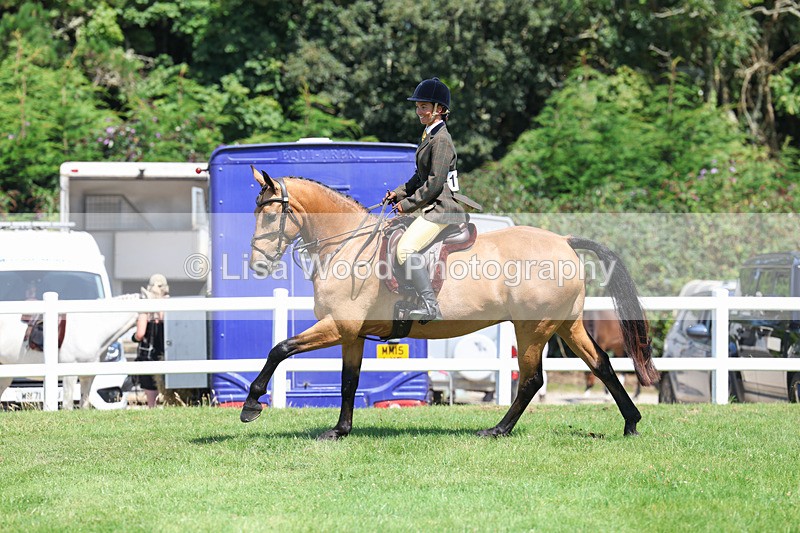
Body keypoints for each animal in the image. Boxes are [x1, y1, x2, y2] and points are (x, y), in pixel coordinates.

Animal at [241, 168, 657, 439]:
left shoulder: (337, 326)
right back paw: (631, 423)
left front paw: (251, 405)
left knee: (532, 379)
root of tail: (564, 241)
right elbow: (348, 381)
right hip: (567, 324)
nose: (257, 264)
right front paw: (340, 430)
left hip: (532, 328)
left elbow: (280, 349)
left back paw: (497, 430)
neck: (347, 244)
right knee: (602, 364)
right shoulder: (352, 334)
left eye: (272, 215)